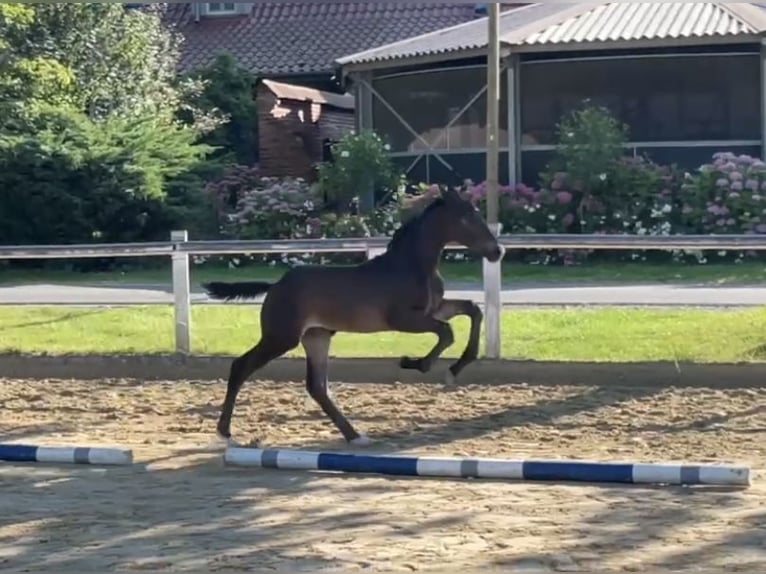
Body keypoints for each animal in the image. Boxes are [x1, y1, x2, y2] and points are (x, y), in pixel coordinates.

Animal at [206, 187, 504, 448]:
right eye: (466, 217)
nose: (497, 251)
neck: (411, 265)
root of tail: (275, 286)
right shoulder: (402, 319)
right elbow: (447, 332)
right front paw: (418, 364)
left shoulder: (435, 308)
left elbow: (472, 310)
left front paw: (455, 367)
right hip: (281, 337)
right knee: (241, 366)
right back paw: (225, 433)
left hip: (316, 337)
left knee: (317, 386)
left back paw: (355, 435)